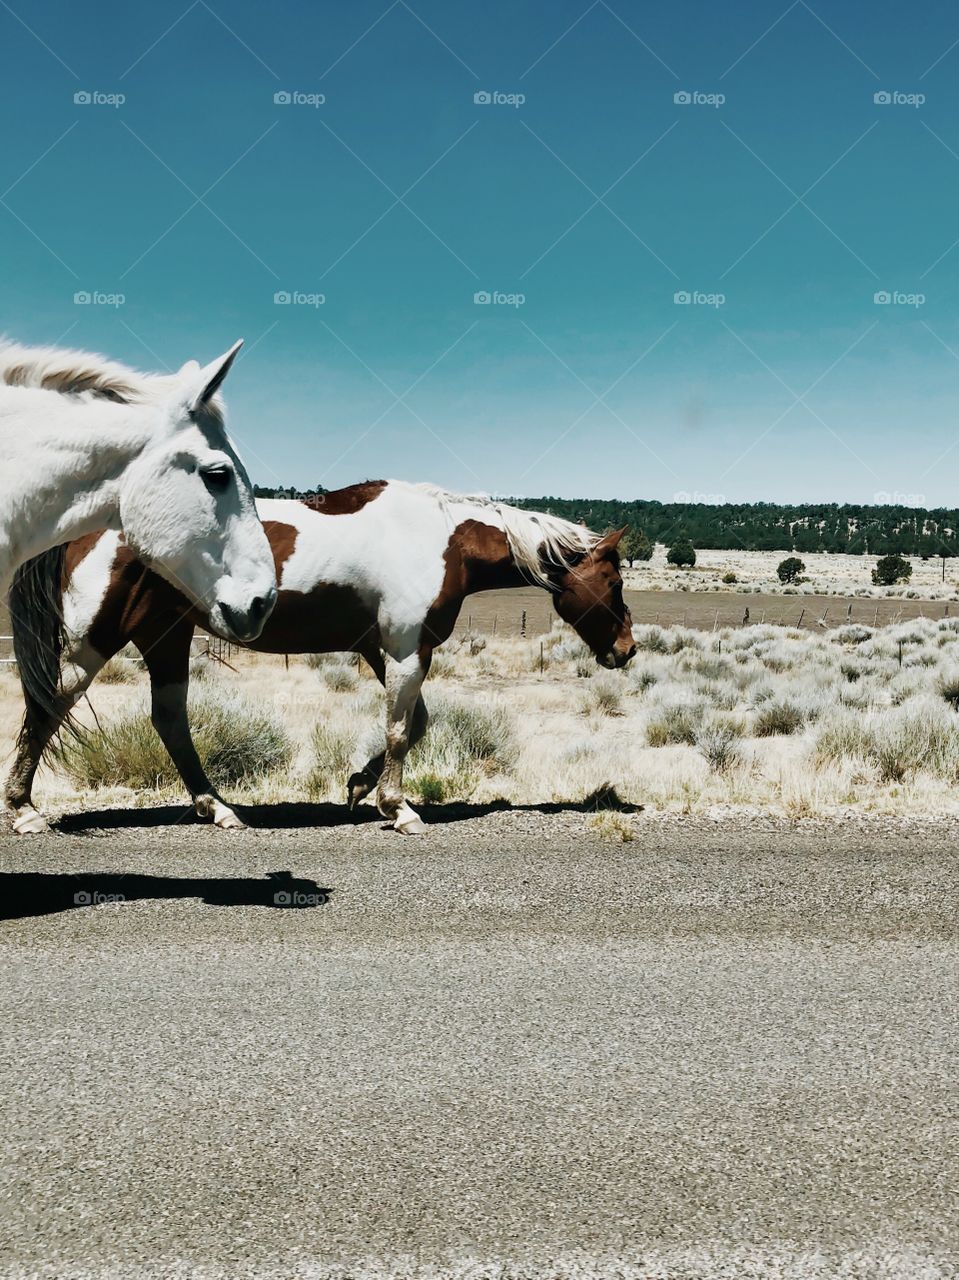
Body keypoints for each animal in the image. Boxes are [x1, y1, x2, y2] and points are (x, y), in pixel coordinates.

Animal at [9, 481, 635, 829]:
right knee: (48, 707)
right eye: (615, 580)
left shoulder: (384, 650)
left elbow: (414, 724)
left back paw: (218, 808)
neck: (441, 540)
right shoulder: (404, 650)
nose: (626, 650)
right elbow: (400, 730)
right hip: (96, 639)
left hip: (166, 639)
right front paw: (398, 809)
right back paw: (23, 810)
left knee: (169, 721)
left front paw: (360, 787)